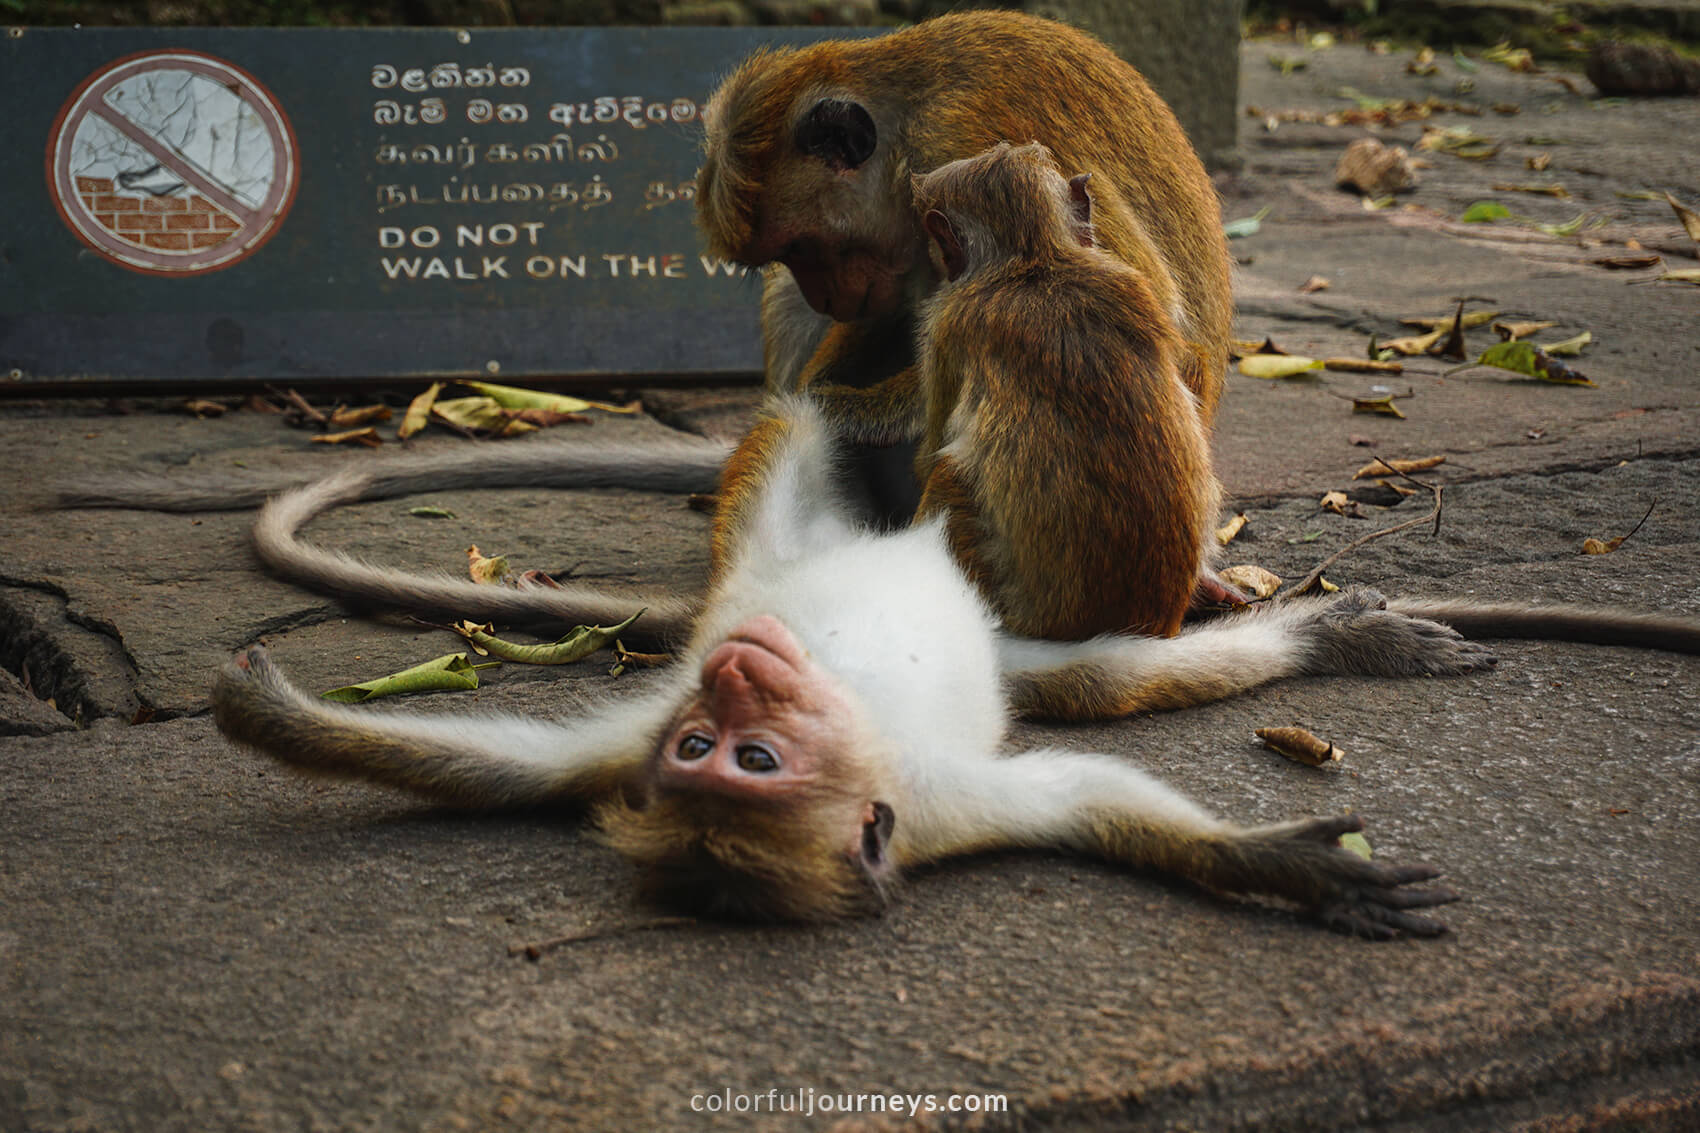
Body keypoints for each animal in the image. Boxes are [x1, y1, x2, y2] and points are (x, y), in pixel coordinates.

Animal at [210, 395, 1486, 936]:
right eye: (712, 754)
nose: (729, 674)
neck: (863, 736)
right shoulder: (941, 798)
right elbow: (1087, 796)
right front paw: (1279, 864)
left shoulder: (629, 755)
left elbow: (512, 767)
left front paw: (270, 713)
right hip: (901, 600)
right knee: (1093, 681)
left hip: (785, 540)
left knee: (817, 415)